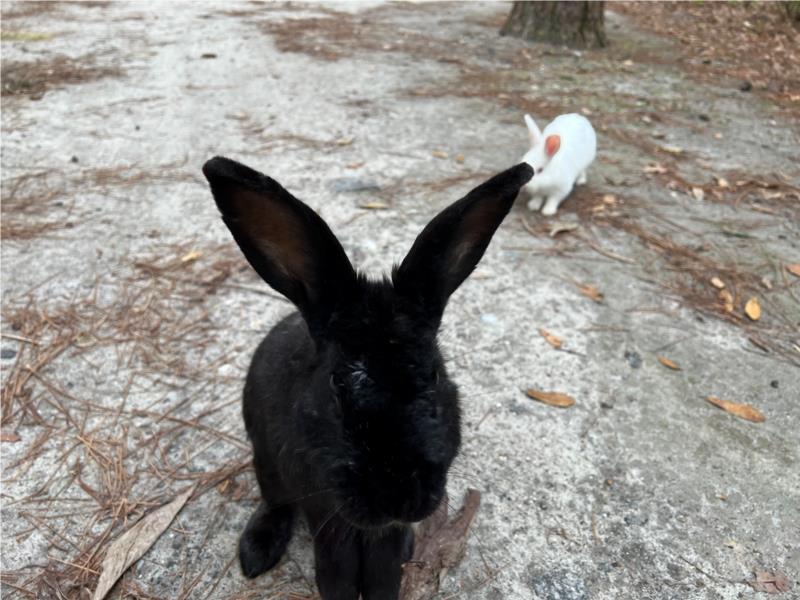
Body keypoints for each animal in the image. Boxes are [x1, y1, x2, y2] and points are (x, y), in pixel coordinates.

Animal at [202, 156, 533, 600]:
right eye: (335, 382)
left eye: (434, 373)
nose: (398, 497)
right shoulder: (328, 516)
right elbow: (336, 576)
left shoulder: (380, 534)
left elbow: (384, 575)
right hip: (266, 464)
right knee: (274, 503)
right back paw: (256, 552)